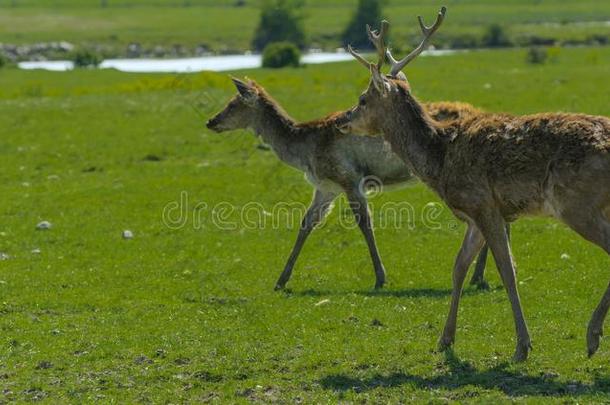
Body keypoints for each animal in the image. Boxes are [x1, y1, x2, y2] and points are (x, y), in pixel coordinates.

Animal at [207, 76, 492, 290]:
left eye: (233, 103)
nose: (211, 121)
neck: (305, 152)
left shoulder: (348, 177)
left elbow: (364, 223)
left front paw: (380, 278)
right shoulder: (326, 186)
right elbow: (306, 222)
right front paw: (281, 280)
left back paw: (479, 277)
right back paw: (478, 276)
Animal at [338, 7, 608, 360]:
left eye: (362, 99)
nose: (342, 120)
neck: (440, 160)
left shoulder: (484, 205)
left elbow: (507, 270)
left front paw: (522, 346)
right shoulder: (474, 217)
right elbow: (459, 267)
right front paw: (445, 339)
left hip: (577, 202)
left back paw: (592, 336)